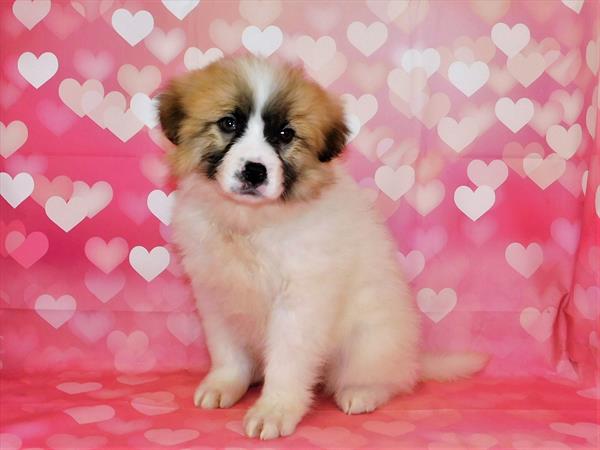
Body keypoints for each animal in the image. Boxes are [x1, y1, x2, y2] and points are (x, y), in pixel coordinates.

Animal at [157, 55, 486, 440]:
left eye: (285, 134)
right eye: (229, 123)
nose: (254, 171)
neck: (252, 223)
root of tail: (413, 359)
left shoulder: (301, 302)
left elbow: (287, 362)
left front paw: (274, 409)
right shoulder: (215, 294)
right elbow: (226, 351)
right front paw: (225, 384)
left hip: (370, 341)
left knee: (390, 378)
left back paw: (362, 392)